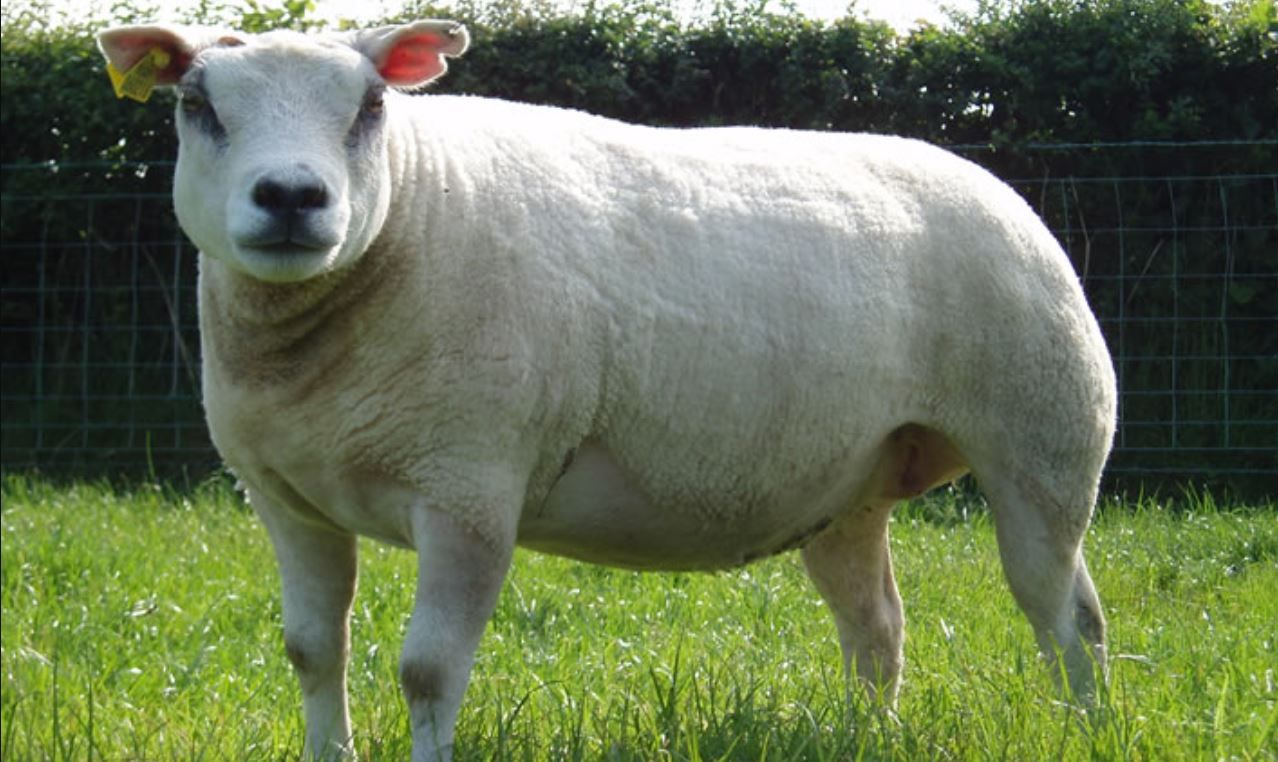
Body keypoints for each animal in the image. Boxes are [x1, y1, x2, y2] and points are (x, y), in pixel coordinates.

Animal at [97, 20, 1117, 761]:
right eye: (197, 104)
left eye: (372, 104)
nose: (291, 198)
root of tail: (988, 181)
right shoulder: (285, 500)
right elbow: (313, 652)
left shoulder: (470, 490)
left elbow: (428, 671)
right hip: (849, 484)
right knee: (877, 628)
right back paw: (871, 738)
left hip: (1044, 439)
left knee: (1068, 614)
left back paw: (1088, 728)